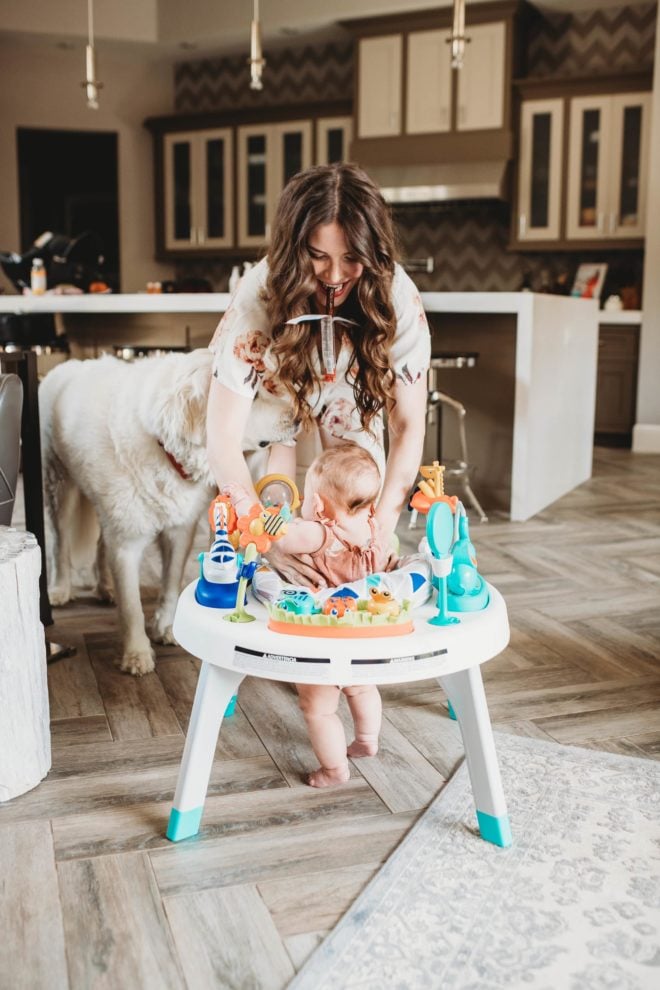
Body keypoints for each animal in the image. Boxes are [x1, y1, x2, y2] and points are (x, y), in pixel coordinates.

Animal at [40, 346, 217, 676]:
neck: (162, 446)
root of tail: (68, 364)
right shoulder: (126, 543)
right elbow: (132, 606)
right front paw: (137, 654)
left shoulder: (178, 530)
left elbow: (170, 582)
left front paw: (167, 628)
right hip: (59, 485)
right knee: (60, 542)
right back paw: (60, 589)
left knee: (100, 544)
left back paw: (105, 587)